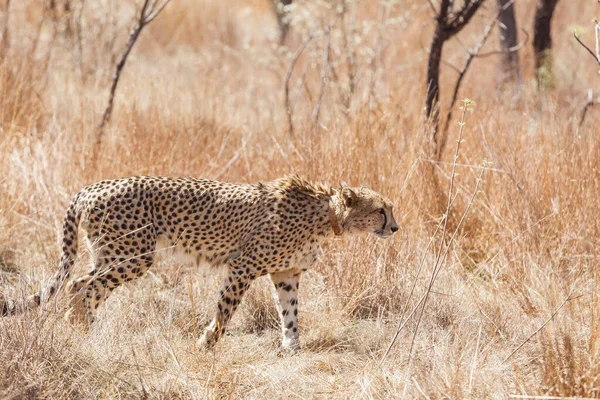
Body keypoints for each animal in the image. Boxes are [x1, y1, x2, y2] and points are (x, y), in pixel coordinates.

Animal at [1, 175, 398, 350]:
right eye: (381, 209)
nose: (395, 227)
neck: (325, 214)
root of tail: (92, 187)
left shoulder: (285, 273)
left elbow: (291, 313)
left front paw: (292, 347)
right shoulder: (244, 266)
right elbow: (225, 310)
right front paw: (207, 343)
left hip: (113, 253)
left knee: (80, 284)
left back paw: (84, 328)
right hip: (133, 255)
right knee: (81, 285)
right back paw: (83, 328)